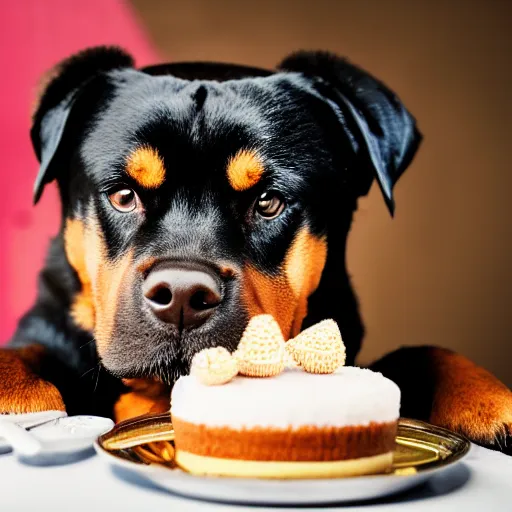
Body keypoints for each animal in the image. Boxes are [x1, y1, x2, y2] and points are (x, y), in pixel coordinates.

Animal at [1, 47, 512, 452]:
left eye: (268, 202)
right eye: (124, 195)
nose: (183, 295)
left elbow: (424, 351)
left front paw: (490, 401)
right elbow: (20, 353)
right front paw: (19, 399)